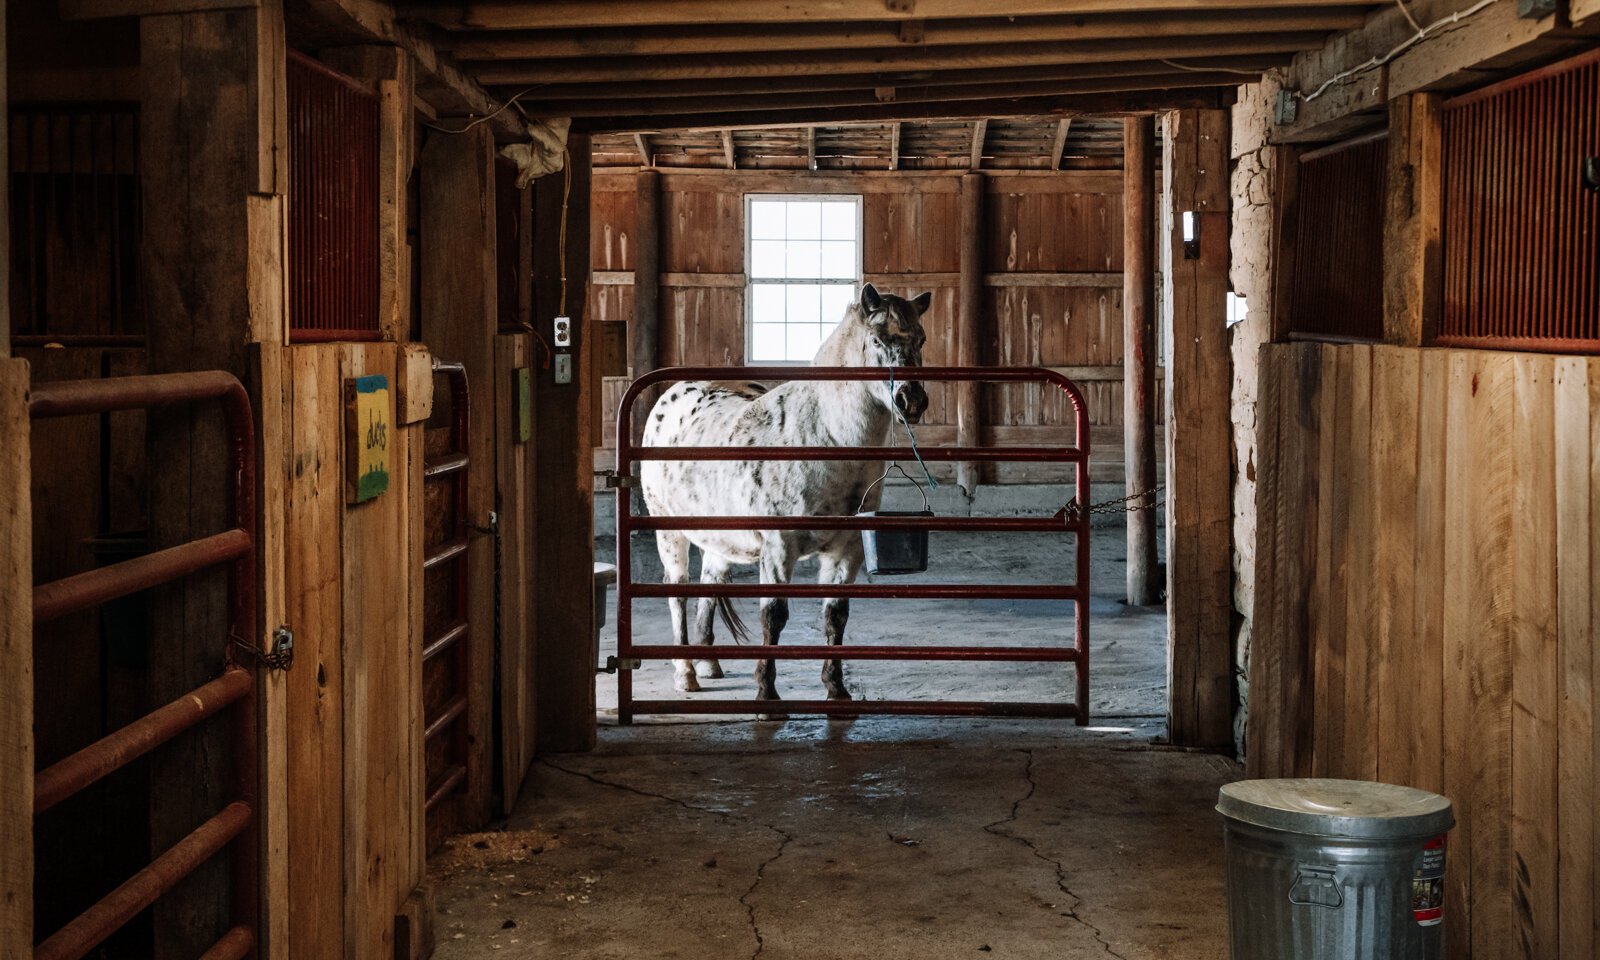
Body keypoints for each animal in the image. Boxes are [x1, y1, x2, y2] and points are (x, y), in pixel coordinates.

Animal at [640, 281, 934, 707]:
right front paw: (767, 693)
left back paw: (710, 664)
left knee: (709, 585)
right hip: (670, 531)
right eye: (878, 339)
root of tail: (671, 397)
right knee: (677, 590)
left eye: (921, 339)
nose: (911, 401)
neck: (824, 437)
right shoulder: (779, 548)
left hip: (719, 538)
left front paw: (836, 688)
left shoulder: (847, 549)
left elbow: (836, 616)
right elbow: (774, 616)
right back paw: (687, 674)